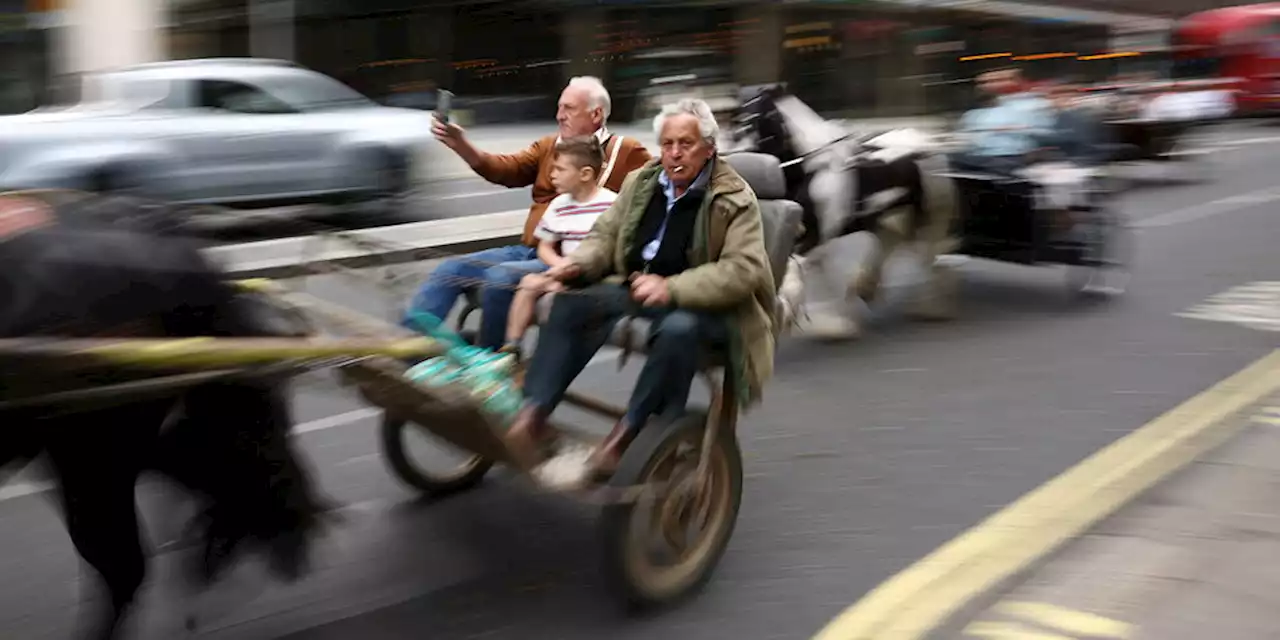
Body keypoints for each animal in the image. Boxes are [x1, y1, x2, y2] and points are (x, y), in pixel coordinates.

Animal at [732, 86, 962, 340]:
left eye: (764, 115)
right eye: (740, 116)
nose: (742, 154)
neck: (815, 169)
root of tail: (928, 143)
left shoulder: (816, 237)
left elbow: (801, 269)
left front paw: (798, 315)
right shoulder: (808, 235)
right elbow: (818, 272)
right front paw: (834, 323)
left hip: (929, 214)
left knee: (926, 253)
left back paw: (930, 306)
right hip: (889, 216)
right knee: (892, 244)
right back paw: (868, 289)